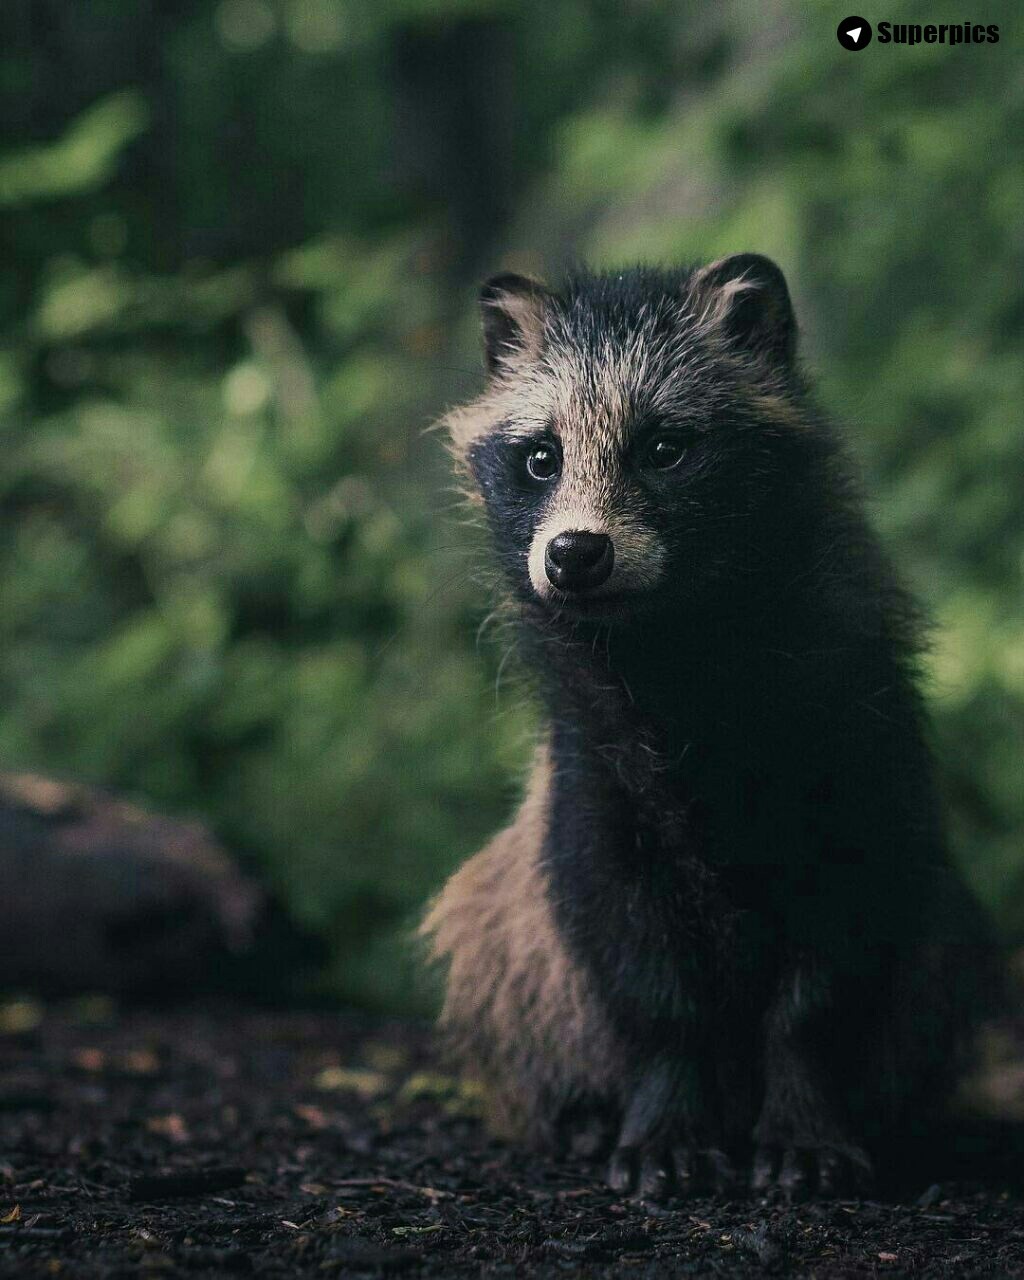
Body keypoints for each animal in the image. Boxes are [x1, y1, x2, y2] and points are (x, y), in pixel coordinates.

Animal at [419, 254, 998, 1192]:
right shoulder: (592, 778)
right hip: (509, 936)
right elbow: (637, 962)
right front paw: (665, 1113)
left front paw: (804, 1111)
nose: (575, 554)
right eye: (541, 457)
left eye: (664, 447)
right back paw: (579, 1113)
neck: (673, 641)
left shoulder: (857, 741)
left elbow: (832, 960)